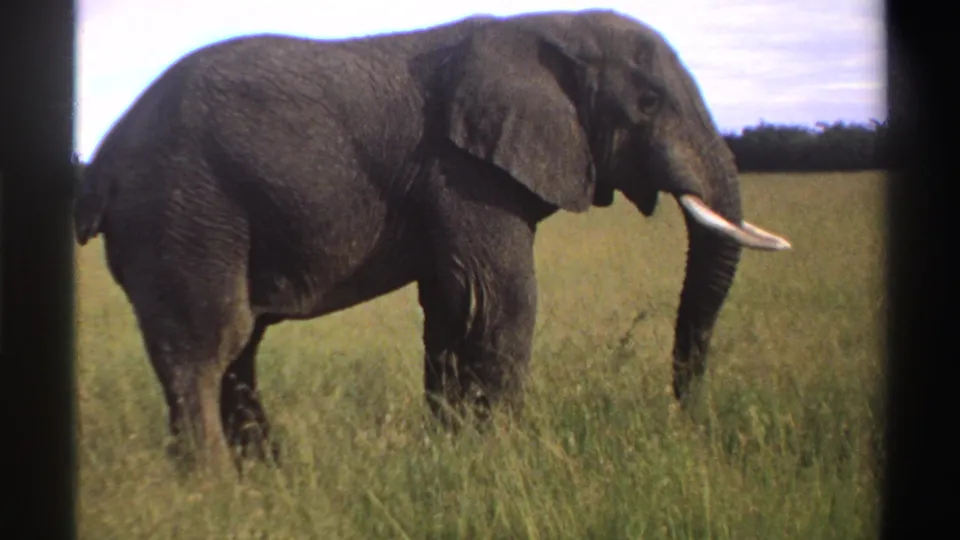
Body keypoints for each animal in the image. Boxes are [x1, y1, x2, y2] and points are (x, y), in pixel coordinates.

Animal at [73, 9, 790, 471]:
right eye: (647, 103)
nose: (686, 420)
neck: (546, 28)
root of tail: (102, 162)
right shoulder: (461, 169)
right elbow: (499, 302)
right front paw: (505, 459)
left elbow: (452, 308)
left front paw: (452, 453)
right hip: (182, 210)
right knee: (206, 346)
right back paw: (216, 490)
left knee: (236, 353)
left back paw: (264, 480)